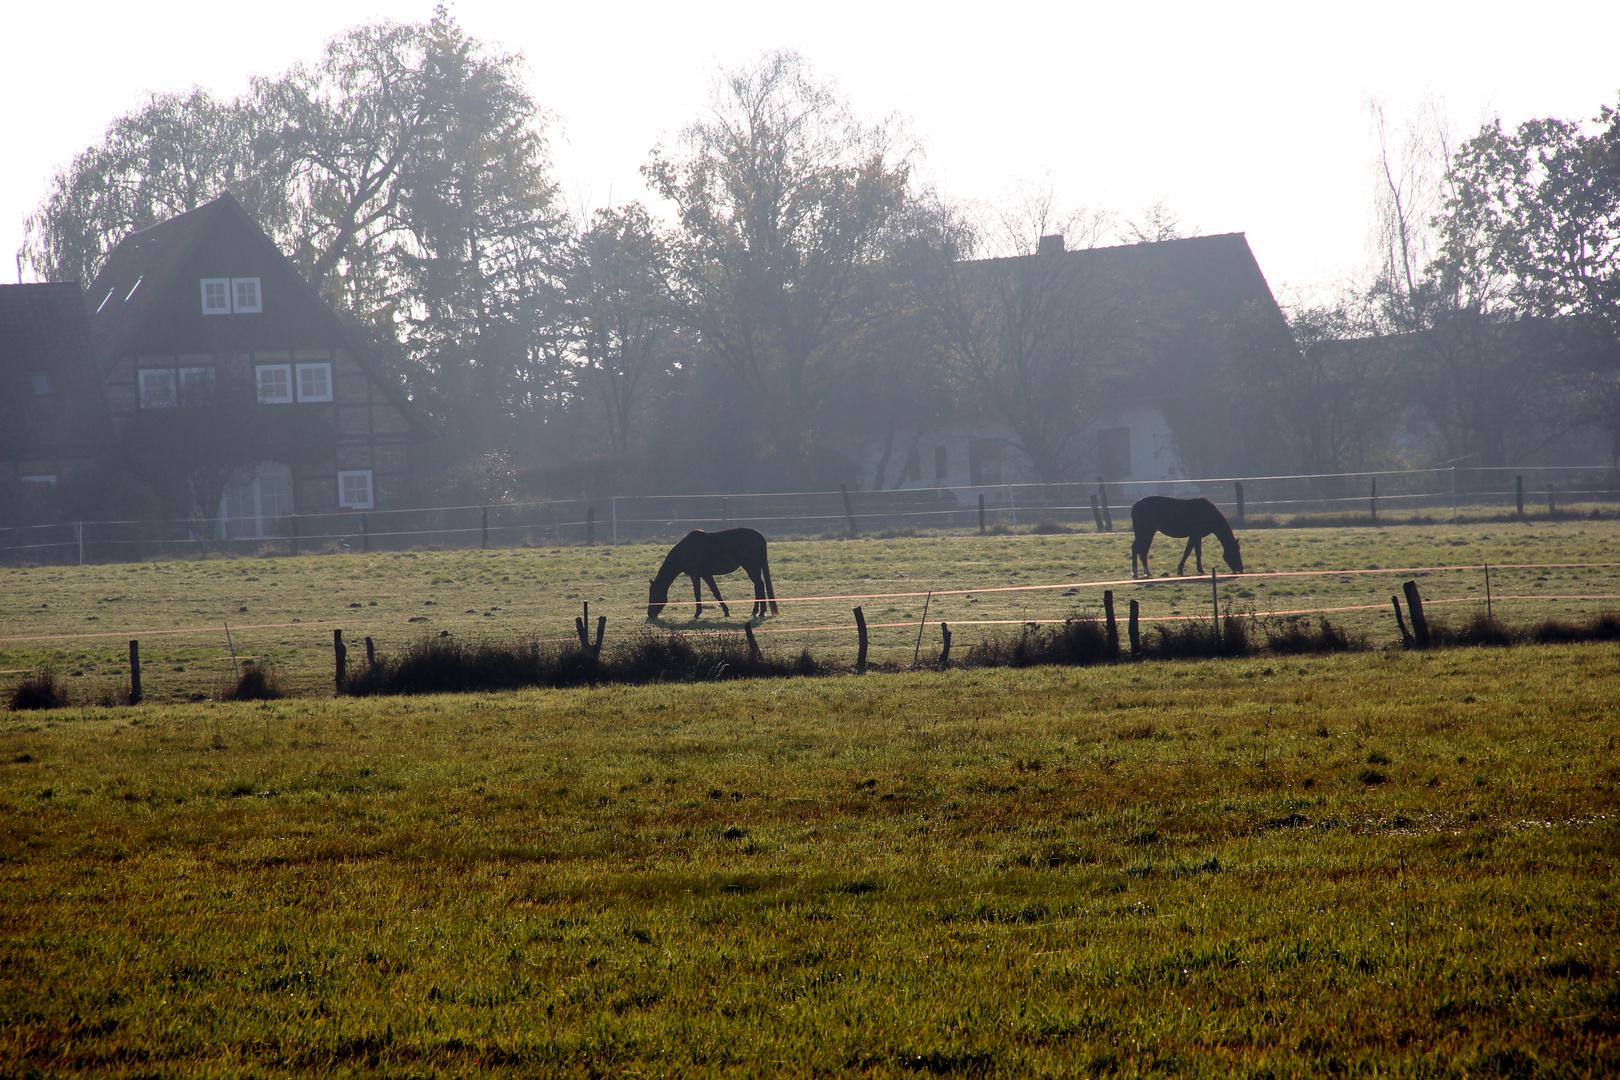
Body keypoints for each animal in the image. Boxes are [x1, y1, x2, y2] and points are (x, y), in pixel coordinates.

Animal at [644, 527, 777, 621]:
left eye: (654, 595)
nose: (650, 614)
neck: (684, 551)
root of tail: (758, 535)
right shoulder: (706, 575)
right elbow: (716, 592)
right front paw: (726, 611)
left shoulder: (695, 575)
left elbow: (697, 594)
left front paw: (697, 613)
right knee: (758, 585)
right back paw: (756, 611)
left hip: (750, 567)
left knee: (759, 585)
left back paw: (761, 611)